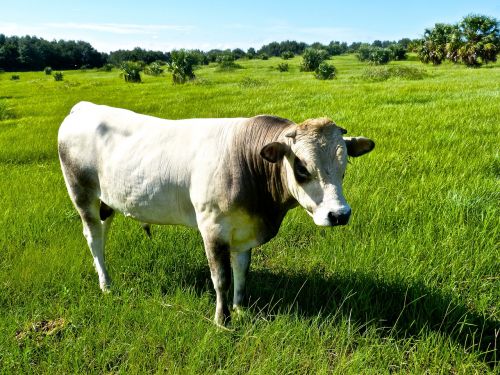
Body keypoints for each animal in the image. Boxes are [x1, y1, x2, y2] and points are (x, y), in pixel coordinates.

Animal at [58, 100, 374, 326]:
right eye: (302, 168)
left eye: (344, 166)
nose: (339, 214)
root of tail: (84, 107)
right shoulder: (212, 228)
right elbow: (221, 278)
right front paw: (223, 321)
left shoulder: (243, 230)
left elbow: (241, 271)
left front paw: (241, 309)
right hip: (81, 194)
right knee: (93, 238)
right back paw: (106, 284)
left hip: (107, 202)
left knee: (102, 232)